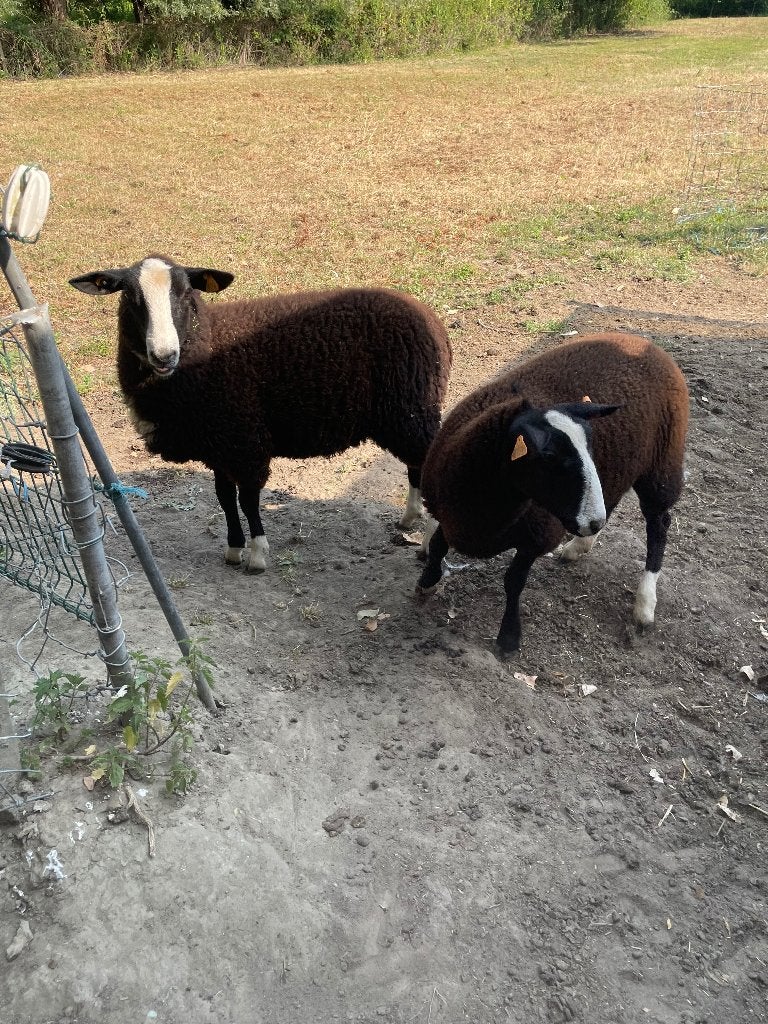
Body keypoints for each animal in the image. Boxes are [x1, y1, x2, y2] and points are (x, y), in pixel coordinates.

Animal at [69, 255, 452, 572]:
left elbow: (248, 499)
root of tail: (430, 319)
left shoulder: (245, 440)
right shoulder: (218, 445)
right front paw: (233, 548)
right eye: (130, 298)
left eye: (186, 293)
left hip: (410, 410)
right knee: (418, 464)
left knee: (430, 461)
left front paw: (256, 554)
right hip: (407, 414)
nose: (164, 355)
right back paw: (410, 518)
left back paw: (429, 541)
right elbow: (224, 497)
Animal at [416, 332, 689, 653]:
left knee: (658, 525)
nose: (591, 521)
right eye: (548, 457)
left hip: (660, 464)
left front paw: (509, 637)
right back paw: (579, 546)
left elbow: (513, 581)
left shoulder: (537, 537)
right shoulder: (449, 514)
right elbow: (437, 545)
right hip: (620, 469)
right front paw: (427, 582)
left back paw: (645, 603)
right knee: (612, 502)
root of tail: (646, 344)